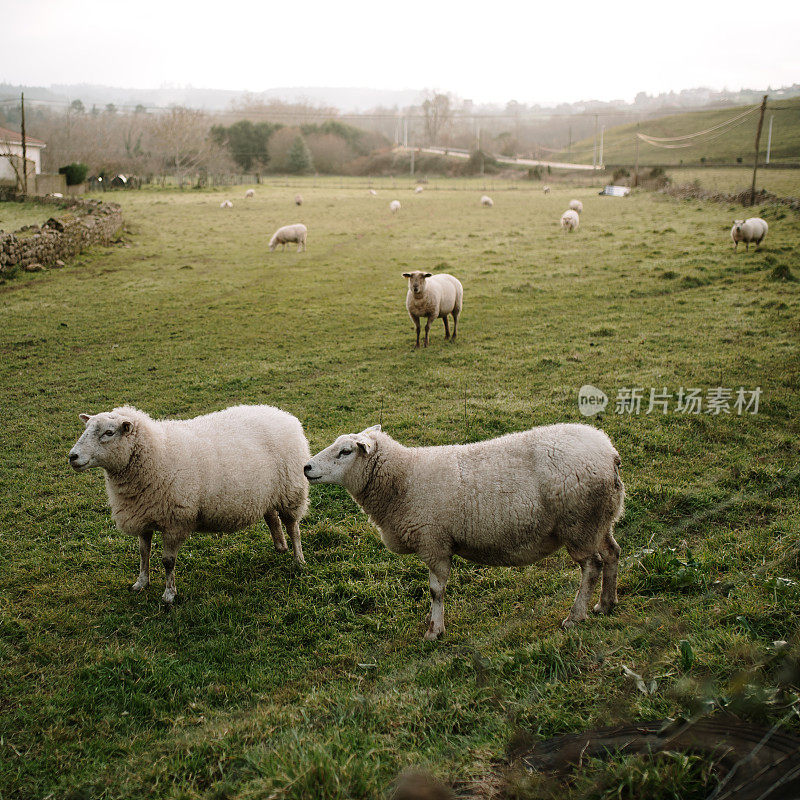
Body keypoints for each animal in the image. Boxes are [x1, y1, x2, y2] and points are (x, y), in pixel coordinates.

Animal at [67, 404, 310, 604]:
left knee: (293, 528)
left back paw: (298, 559)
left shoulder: (175, 522)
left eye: (108, 433)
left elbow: (167, 561)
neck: (156, 453)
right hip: (267, 493)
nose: (72, 456)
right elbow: (143, 553)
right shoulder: (144, 516)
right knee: (272, 518)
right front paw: (141, 583)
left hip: (291, 490)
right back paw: (280, 547)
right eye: (86, 428)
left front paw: (169, 594)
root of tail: (283, 415)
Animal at [304, 422, 624, 640]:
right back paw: (605, 604)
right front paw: (433, 622)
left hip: (579, 523)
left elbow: (435, 590)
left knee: (591, 567)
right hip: (600, 521)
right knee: (612, 553)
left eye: (345, 451)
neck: (403, 480)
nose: (306, 467)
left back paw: (576, 616)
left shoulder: (433, 542)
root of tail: (609, 453)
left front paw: (434, 630)